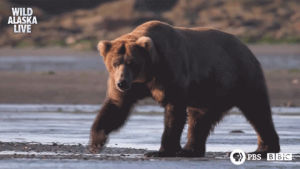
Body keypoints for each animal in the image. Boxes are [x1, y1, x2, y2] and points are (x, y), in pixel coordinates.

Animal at [88, 20, 278, 157]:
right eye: (115, 63)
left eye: (132, 63)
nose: (122, 83)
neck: (150, 71)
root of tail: (246, 47)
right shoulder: (132, 85)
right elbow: (116, 107)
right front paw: (96, 141)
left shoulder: (171, 72)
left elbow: (174, 111)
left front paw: (161, 151)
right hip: (208, 90)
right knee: (200, 118)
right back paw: (191, 150)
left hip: (238, 76)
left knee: (256, 110)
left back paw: (264, 148)